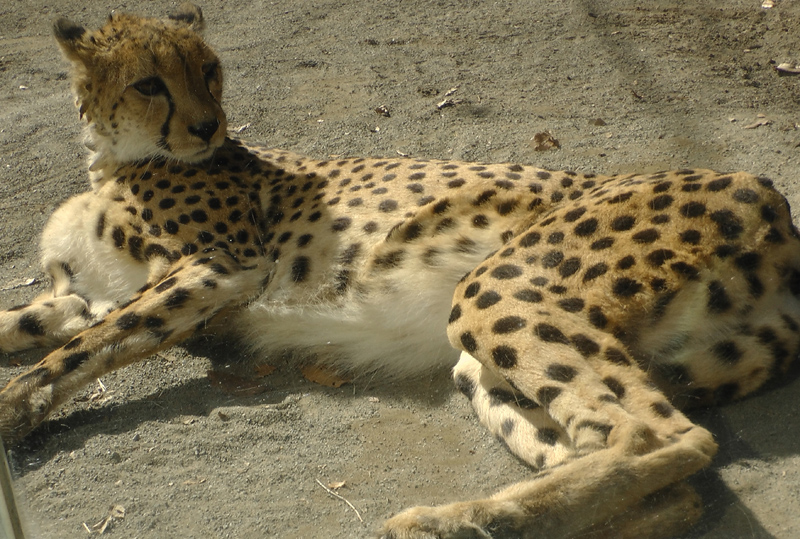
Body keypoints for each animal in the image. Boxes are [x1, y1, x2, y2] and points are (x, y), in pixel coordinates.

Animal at [1, 5, 800, 539]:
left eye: (208, 69)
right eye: (148, 82)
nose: (207, 126)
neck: (114, 159)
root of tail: (777, 210)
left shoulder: (222, 264)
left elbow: (82, 347)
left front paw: (10, 408)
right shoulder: (78, 297)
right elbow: (47, 323)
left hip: (496, 287)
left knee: (660, 437)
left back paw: (450, 520)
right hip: (484, 359)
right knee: (664, 482)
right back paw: (472, 521)